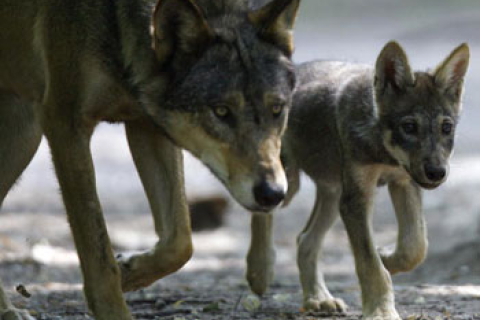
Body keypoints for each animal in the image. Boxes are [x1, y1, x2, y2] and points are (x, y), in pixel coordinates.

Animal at [0, 0, 300, 318]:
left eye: (277, 109)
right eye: (221, 111)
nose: (272, 193)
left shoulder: (147, 125)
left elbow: (180, 242)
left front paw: (128, 272)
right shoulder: (65, 125)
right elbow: (98, 252)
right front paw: (114, 309)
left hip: (26, 132)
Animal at [248, 42, 468, 320]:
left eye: (446, 128)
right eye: (409, 127)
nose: (437, 172)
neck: (382, 150)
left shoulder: (403, 183)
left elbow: (415, 247)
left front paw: (387, 258)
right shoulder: (358, 198)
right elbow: (369, 263)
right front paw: (381, 311)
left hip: (333, 195)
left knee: (305, 239)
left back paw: (318, 299)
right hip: (290, 184)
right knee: (261, 206)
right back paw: (260, 271)